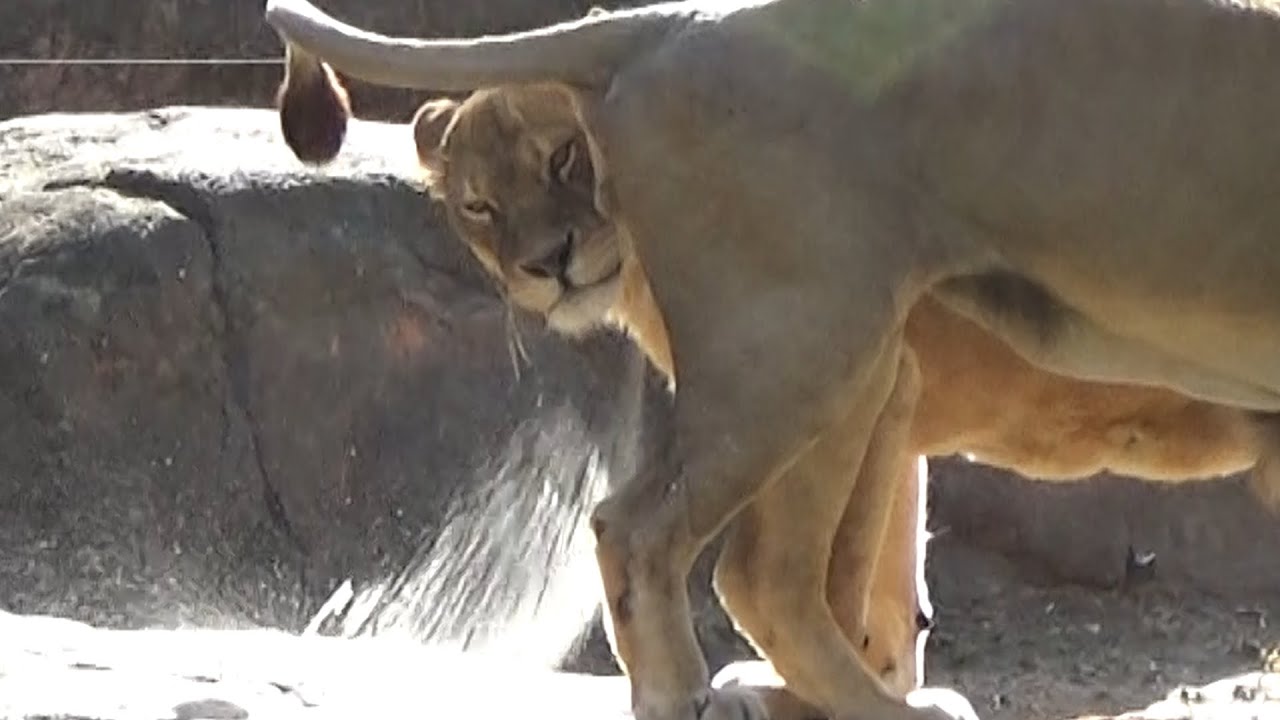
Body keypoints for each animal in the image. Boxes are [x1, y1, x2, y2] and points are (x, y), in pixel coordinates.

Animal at [264, 2, 1280, 720]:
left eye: (562, 161)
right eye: (478, 205)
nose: (545, 264)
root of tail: (669, 23)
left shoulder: (899, 397)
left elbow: (885, 582)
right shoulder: (893, 387)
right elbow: (860, 576)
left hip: (819, 361)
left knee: (731, 560)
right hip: (805, 344)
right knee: (686, 547)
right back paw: (727, 700)